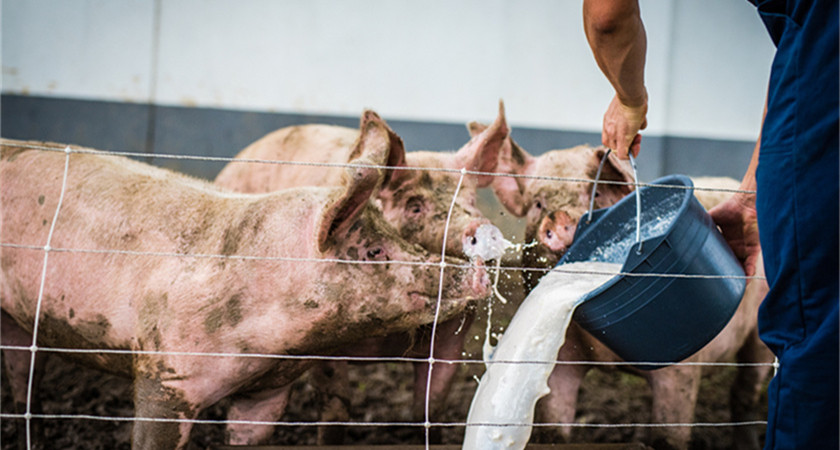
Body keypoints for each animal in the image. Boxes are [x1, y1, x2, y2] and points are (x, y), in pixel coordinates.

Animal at [0, 130, 488, 450]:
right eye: (373, 251)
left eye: (392, 231)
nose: (478, 268)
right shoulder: (163, 373)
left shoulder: (266, 393)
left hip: (20, 323)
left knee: (24, 379)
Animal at [213, 104, 508, 442]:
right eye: (415, 206)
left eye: (471, 200)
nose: (479, 225)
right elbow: (336, 409)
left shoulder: (453, 335)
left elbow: (430, 408)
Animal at [470, 124, 772, 450]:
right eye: (538, 204)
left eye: (596, 192)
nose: (559, 218)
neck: (606, 355)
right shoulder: (561, 358)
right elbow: (555, 427)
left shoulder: (682, 368)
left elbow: (668, 435)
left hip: (760, 332)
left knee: (745, 393)